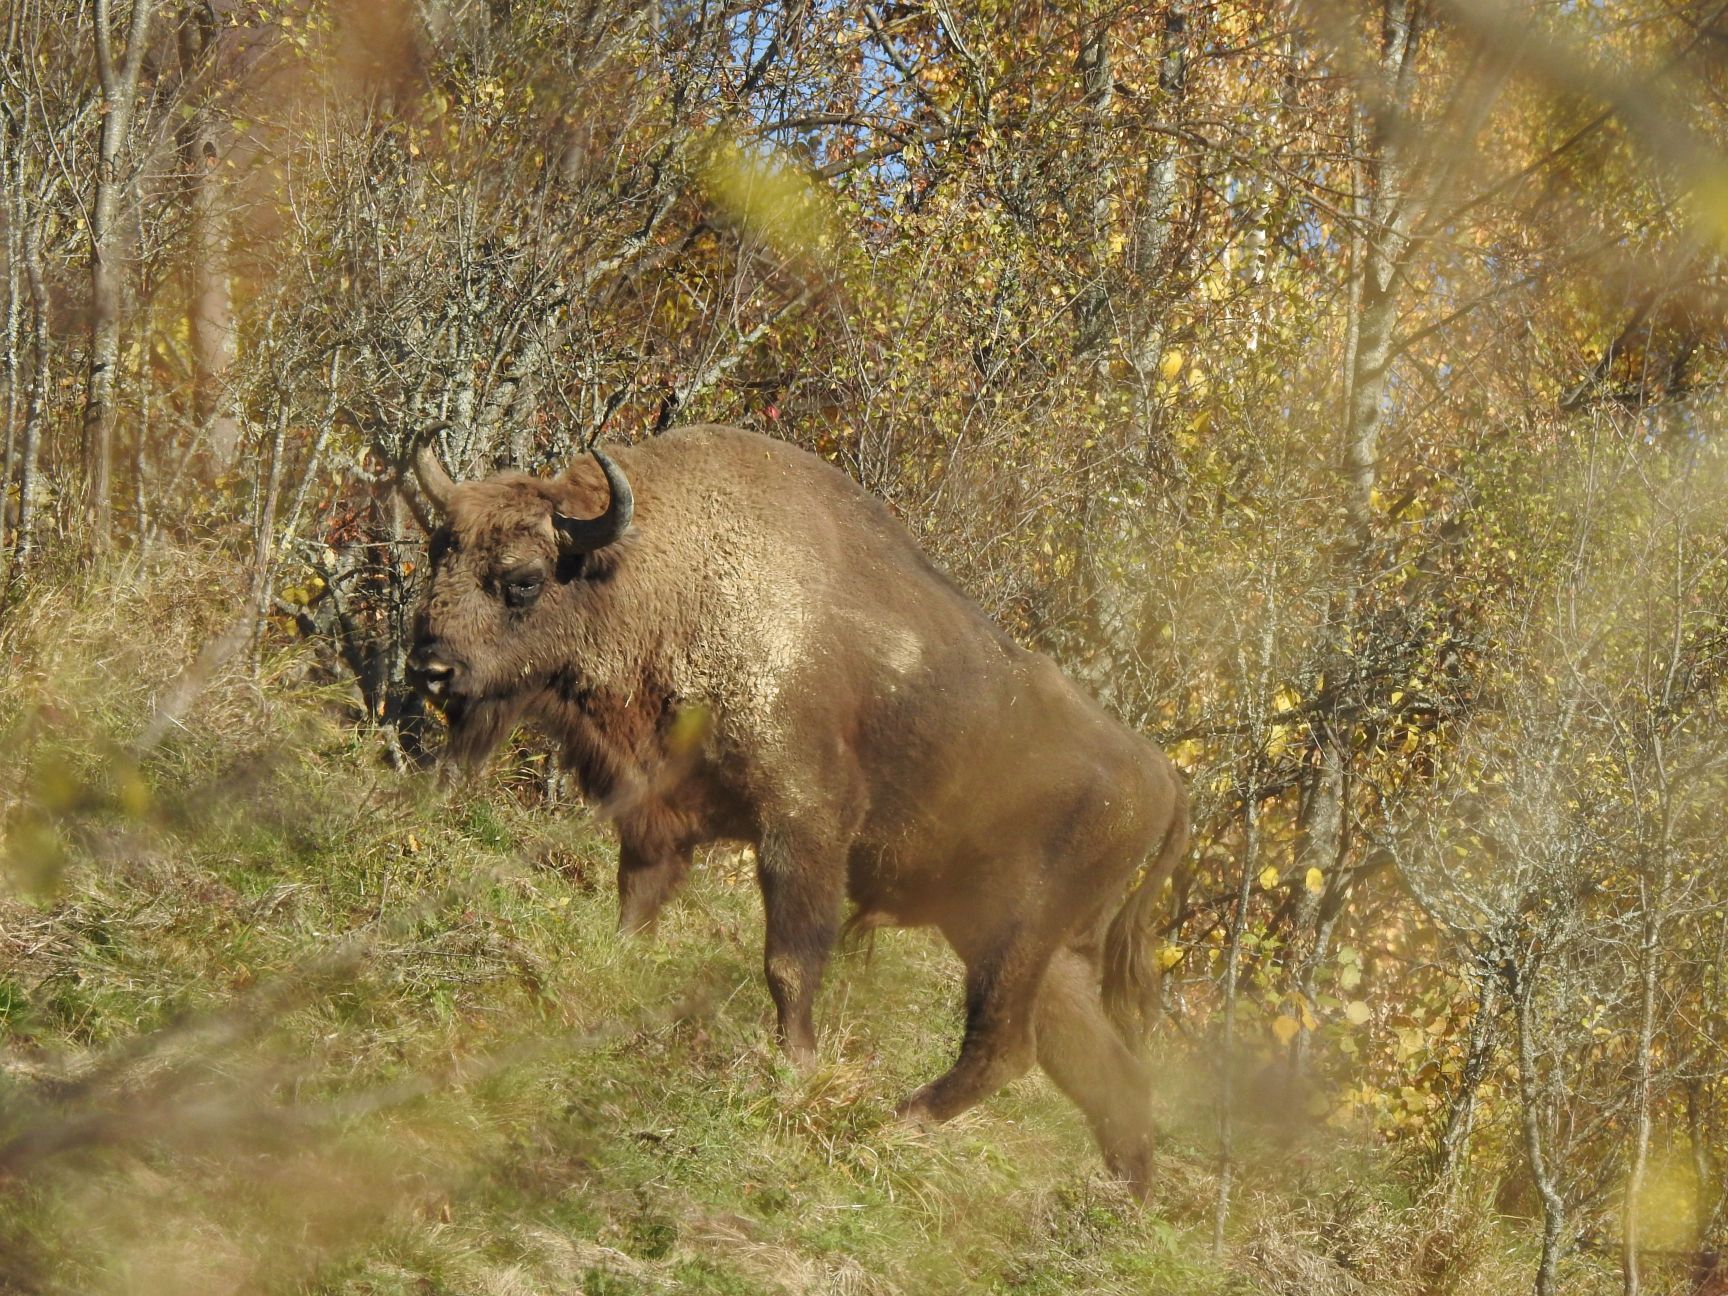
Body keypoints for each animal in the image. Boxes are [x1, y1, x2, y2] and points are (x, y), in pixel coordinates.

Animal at [404, 426, 1188, 1195]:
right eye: (439, 552)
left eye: (523, 580)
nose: (430, 668)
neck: (665, 573)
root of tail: (1163, 778)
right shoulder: (657, 821)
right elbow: (636, 910)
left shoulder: (803, 828)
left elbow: (789, 960)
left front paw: (797, 1071)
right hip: (1031, 949)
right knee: (1101, 1069)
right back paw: (1123, 1200)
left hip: (1016, 935)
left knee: (1008, 1047)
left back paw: (899, 1122)